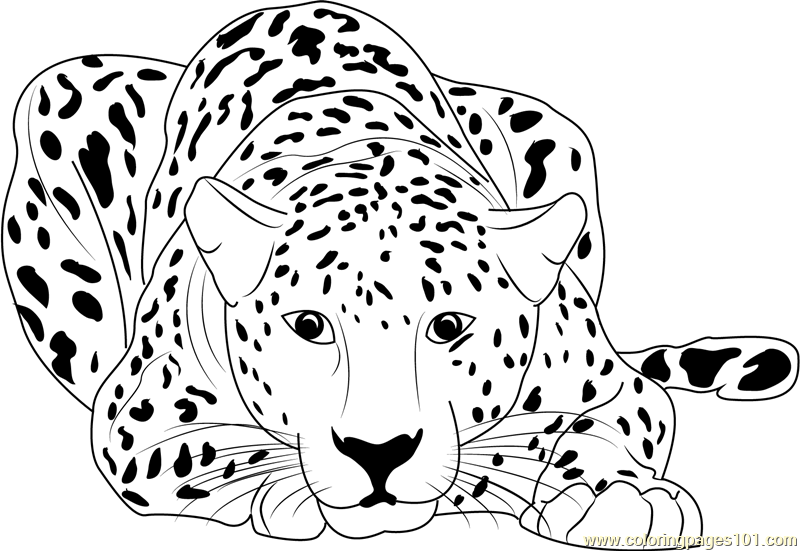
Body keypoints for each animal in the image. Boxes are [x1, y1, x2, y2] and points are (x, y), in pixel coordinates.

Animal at [2, 2, 797, 544]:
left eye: (448, 326)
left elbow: (597, 428)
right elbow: (216, 454)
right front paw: (296, 494)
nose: (377, 454)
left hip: (555, 131)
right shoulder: (137, 422)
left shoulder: (614, 387)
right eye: (309, 325)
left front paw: (613, 497)